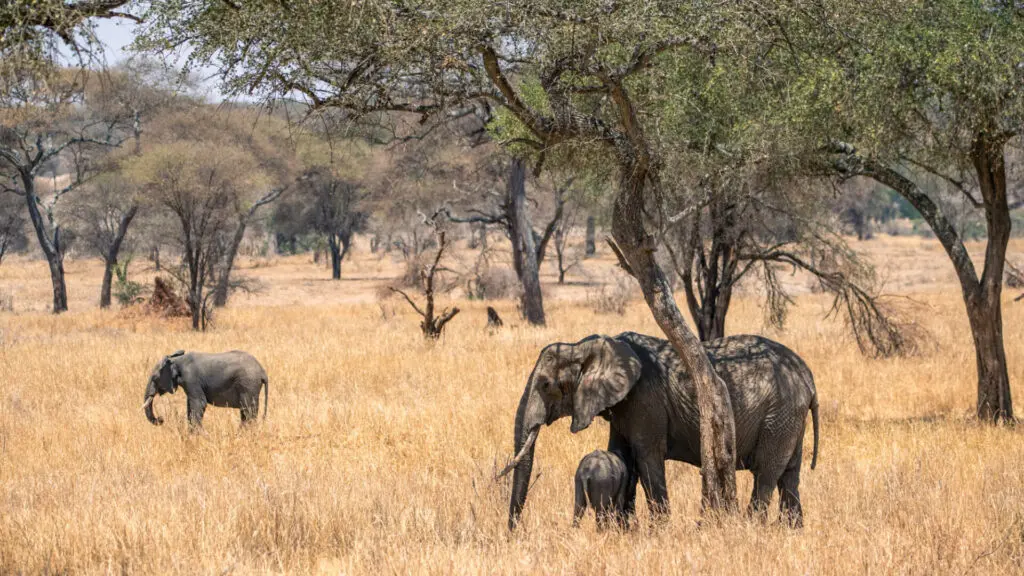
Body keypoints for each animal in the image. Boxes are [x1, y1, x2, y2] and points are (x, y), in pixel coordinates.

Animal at [503, 332, 819, 530]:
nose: (514, 534)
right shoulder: (623, 405)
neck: (583, 345)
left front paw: (658, 531)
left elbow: (647, 458)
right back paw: (792, 533)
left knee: (766, 474)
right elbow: (621, 456)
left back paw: (753, 528)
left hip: (780, 414)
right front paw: (625, 531)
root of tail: (808, 377)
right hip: (789, 418)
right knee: (790, 476)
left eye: (546, 385)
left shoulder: (645, 400)